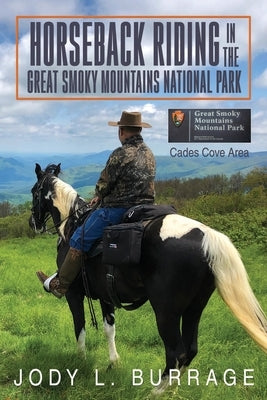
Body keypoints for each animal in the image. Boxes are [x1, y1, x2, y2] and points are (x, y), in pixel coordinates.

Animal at [29, 163, 267, 394]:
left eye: (34, 191)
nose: (33, 223)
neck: (71, 226)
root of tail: (206, 236)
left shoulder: (73, 293)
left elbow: (79, 327)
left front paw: (80, 362)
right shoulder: (106, 295)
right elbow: (109, 328)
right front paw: (113, 363)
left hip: (166, 312)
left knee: (176, 353)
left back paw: (155, 392)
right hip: (195, 307)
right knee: (190, 350)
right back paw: (171, 390)